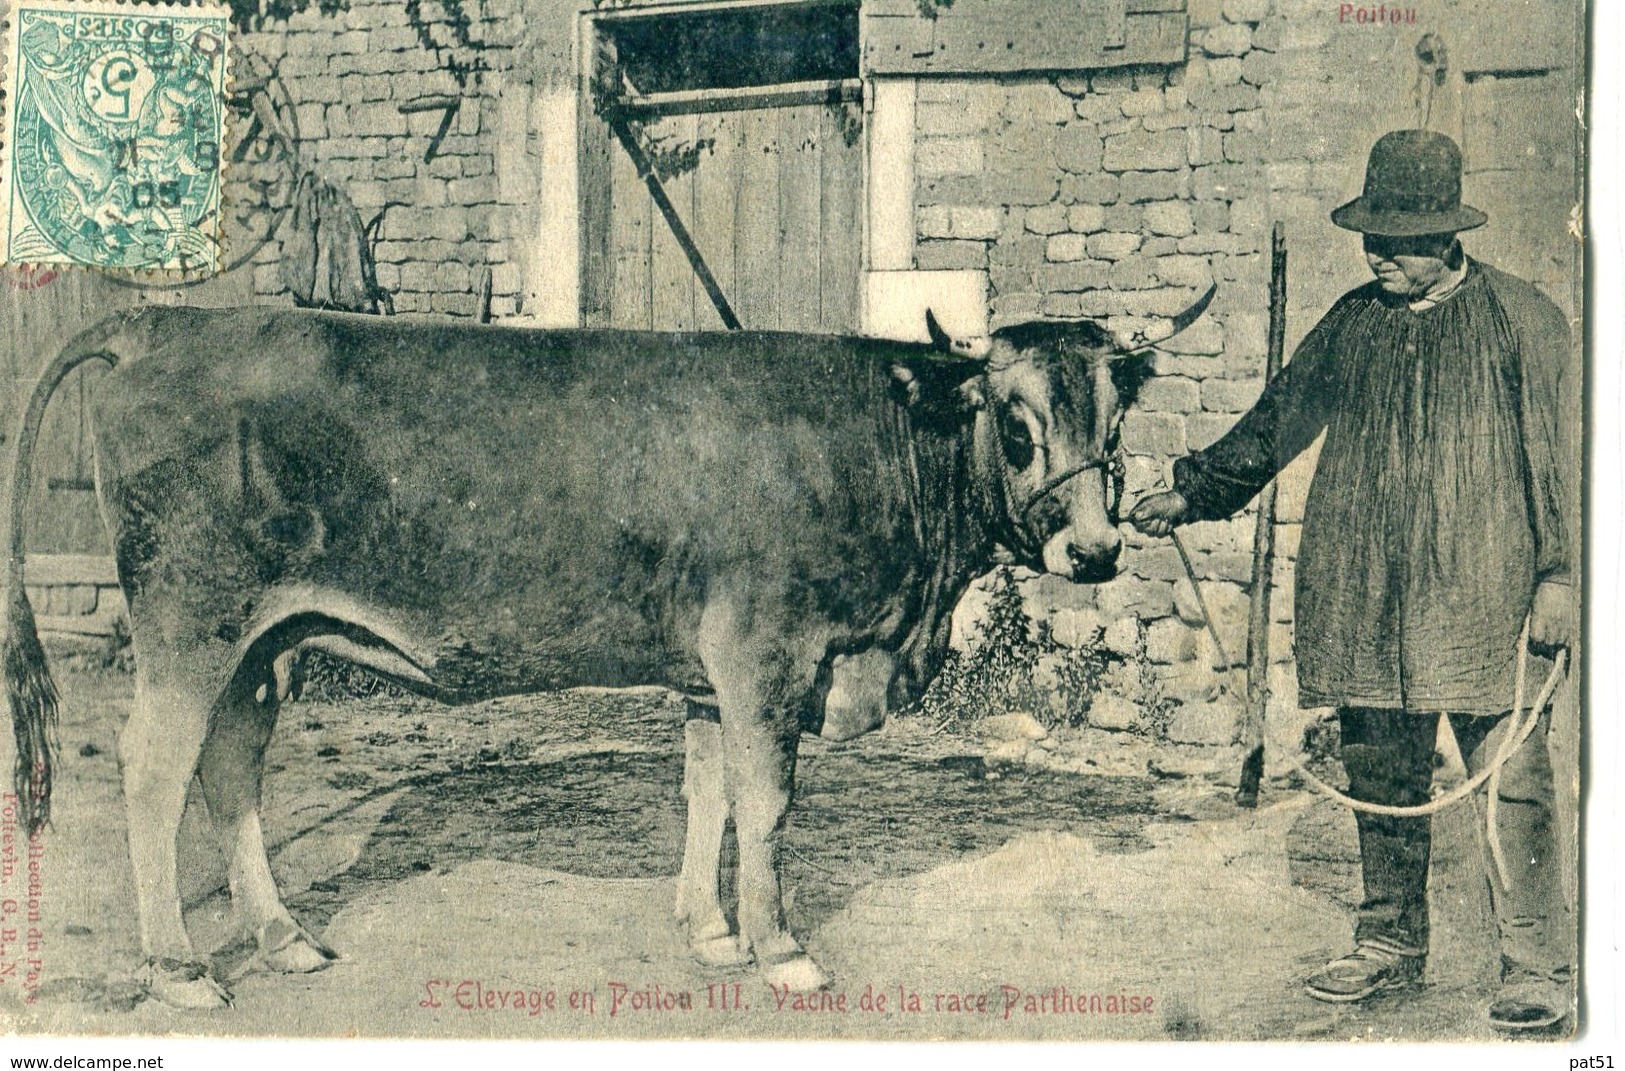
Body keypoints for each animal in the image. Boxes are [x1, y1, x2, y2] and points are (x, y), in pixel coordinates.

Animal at [3, 282, 1209, 1007]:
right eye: (1013, 421)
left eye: (1115, 424)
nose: (1094, 550)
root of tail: (163, 322)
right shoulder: (766, 654)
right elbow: (766, 804)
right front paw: (780, 949)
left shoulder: (712, 673)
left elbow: (706, 792)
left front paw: (709, 931)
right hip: (190, 621)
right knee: (156, 771)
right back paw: (177, 967)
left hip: (265, 642)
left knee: (230, 769)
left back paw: (282, 935)